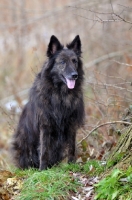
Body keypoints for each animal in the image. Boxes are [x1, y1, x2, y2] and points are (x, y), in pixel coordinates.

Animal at [11, 35, 84, 170]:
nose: (74, 75)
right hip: (23, 143)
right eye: (62, 62)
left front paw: (72, 164)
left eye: (74, 61)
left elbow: (72, 147)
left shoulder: (71, 124)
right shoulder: (45, 125)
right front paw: (42, 169)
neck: (60, 94)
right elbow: (44, 150)